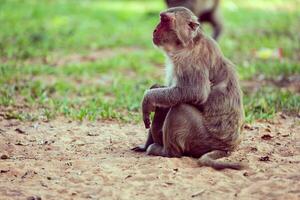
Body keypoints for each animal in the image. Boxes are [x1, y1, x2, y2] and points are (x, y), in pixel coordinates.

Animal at [132, 7, 245, 170]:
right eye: (161, 18)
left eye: (165, 20)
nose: (154, 30)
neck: (186, 44)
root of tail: (228, 147)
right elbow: (168, 92)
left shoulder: (191, 61)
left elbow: (195, 92)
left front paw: (148, 99)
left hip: (204, 140)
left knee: (181, 108)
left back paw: (166, 151)